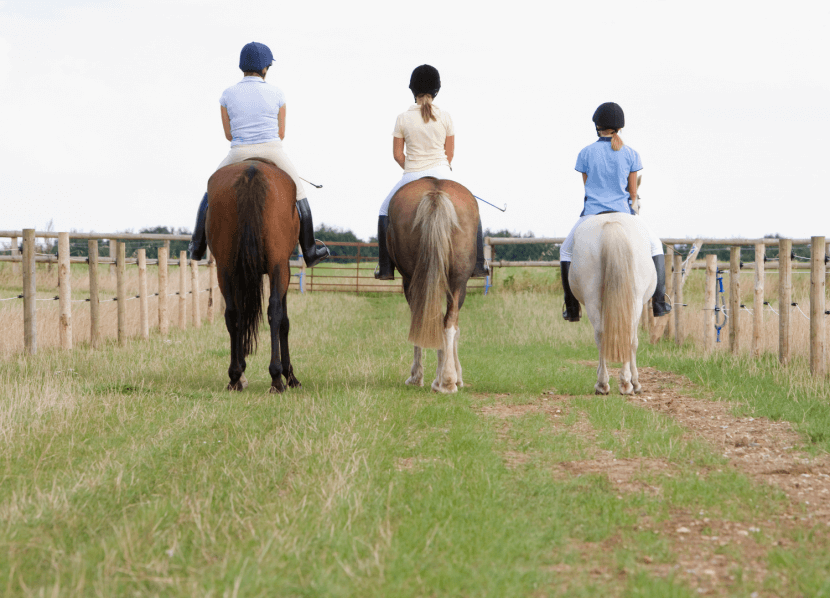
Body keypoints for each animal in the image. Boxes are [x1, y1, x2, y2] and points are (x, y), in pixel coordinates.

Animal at [207, 157, 304, 396]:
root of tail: (252, 170)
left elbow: (241, 316)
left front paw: (241, 371)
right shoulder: (285, 268)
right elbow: (284, 321)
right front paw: (290, 376)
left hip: (225, 268)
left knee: (233, 314)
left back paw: (234, 377)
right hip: (279, 267)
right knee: (275, 312)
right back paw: (277, 378)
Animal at [386, 177, 478, 394]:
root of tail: (436, 193)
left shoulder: (409, 283)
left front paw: (417, 377)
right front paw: (453, 376)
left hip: (415, 280)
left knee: (433, 321)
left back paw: (441, 380)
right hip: (458, 280)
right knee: (449, 322)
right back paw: (446, 381)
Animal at [572, 213, 656, 396]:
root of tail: (611, 222)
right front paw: (635, 382)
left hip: (593, 300)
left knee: (601, 335)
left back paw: (605, 383)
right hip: (634, 301)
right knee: (627, 337)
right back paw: (623, 384)